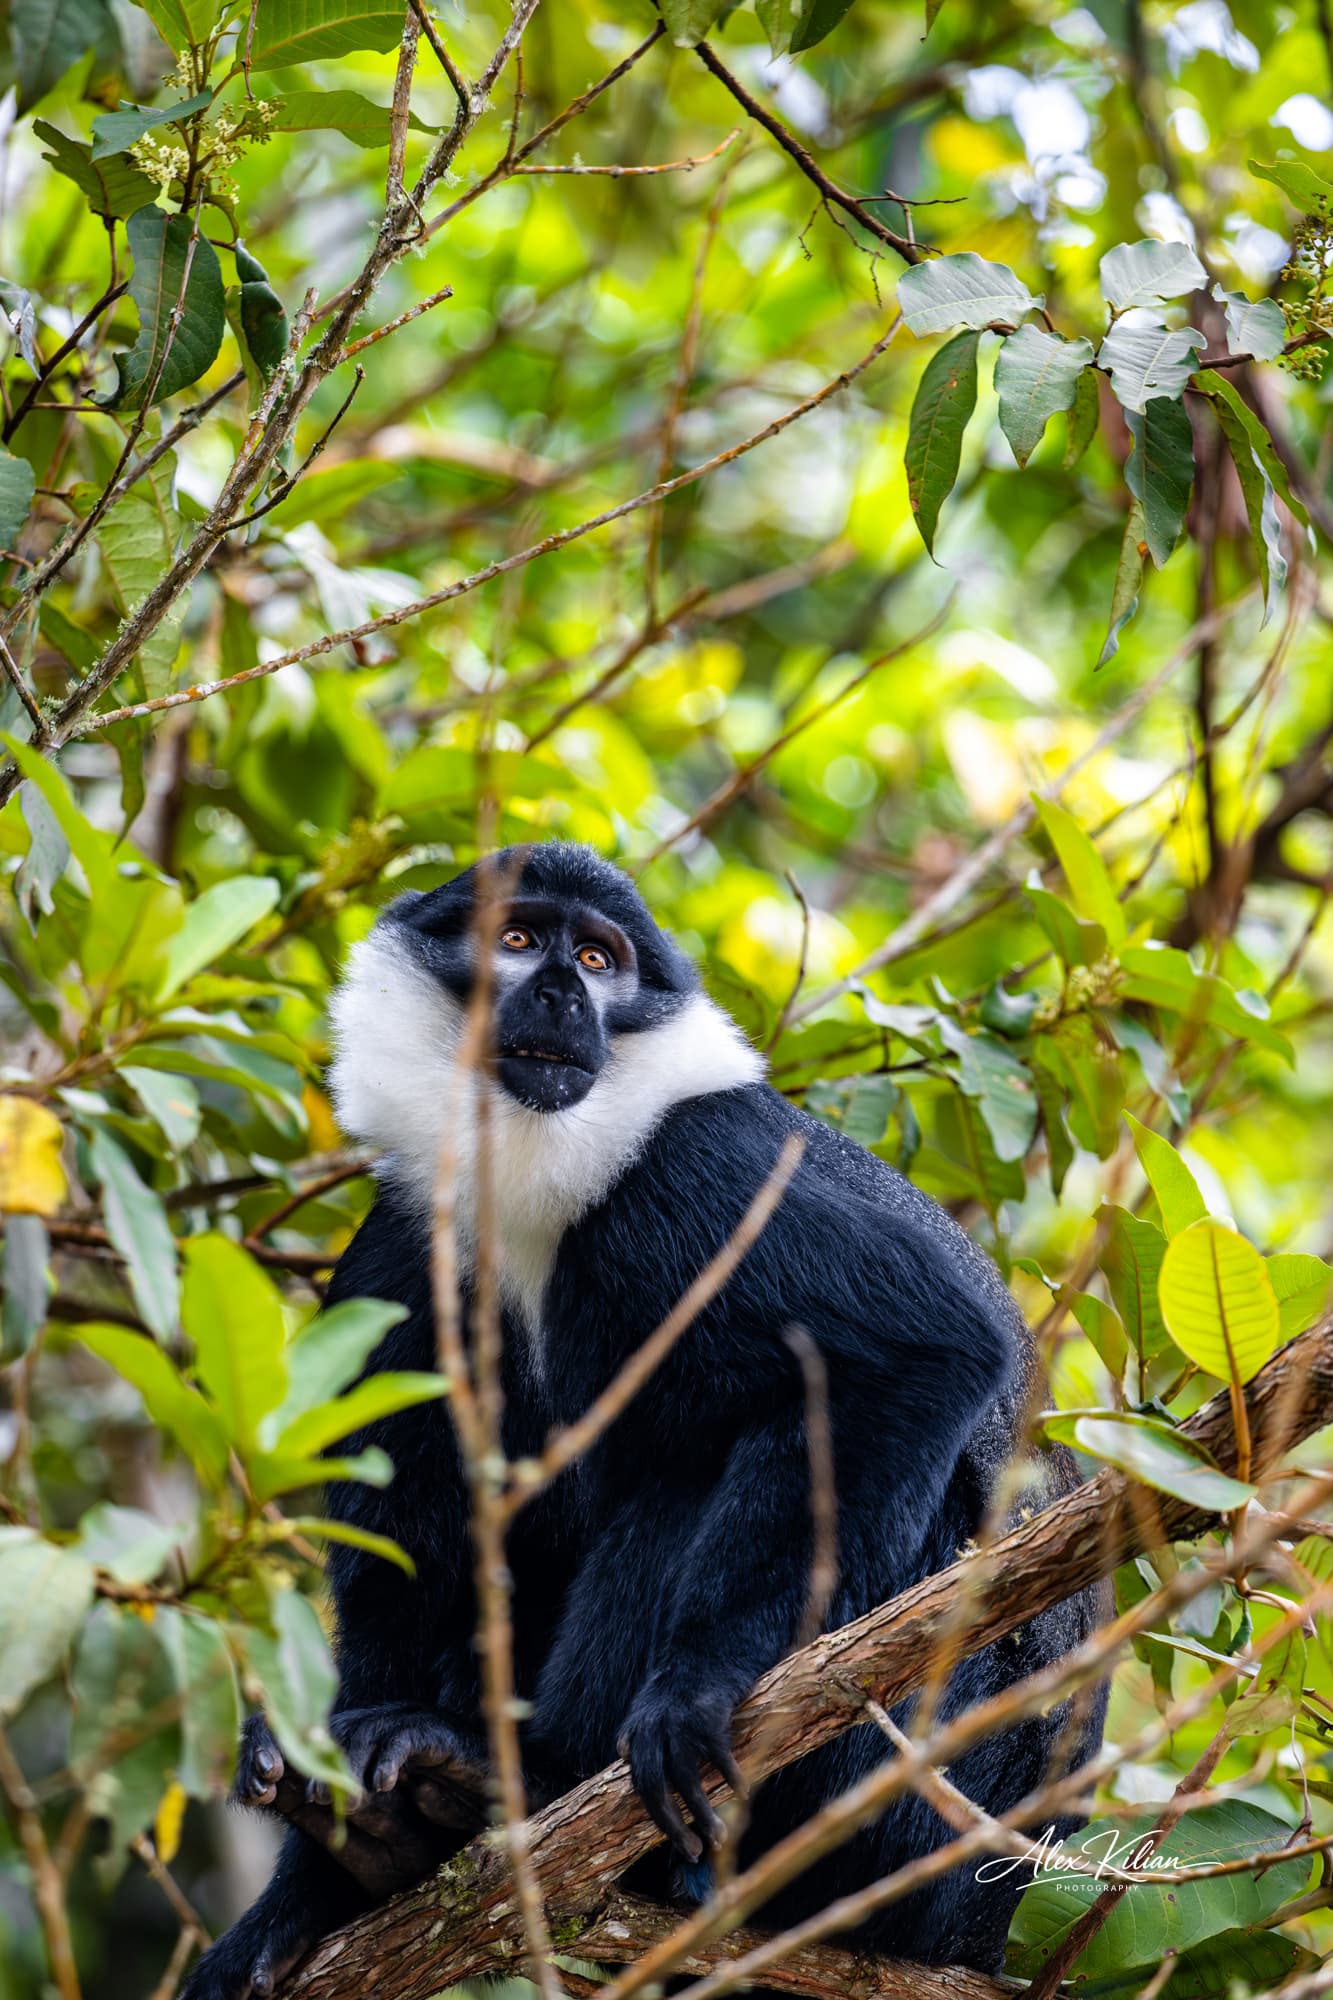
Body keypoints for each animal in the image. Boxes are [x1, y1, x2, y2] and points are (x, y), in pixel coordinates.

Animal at [181, 841, 1105, 2000]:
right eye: (518, 939)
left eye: (597, 958)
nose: (560, 995)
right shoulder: (404, 1241)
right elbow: (400, 1537)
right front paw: (307, 1893)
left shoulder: (698, 1174)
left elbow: (920, 1351)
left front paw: (695, 1696)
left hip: (906, 1803)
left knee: (703, 1475)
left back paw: (530, 1792)